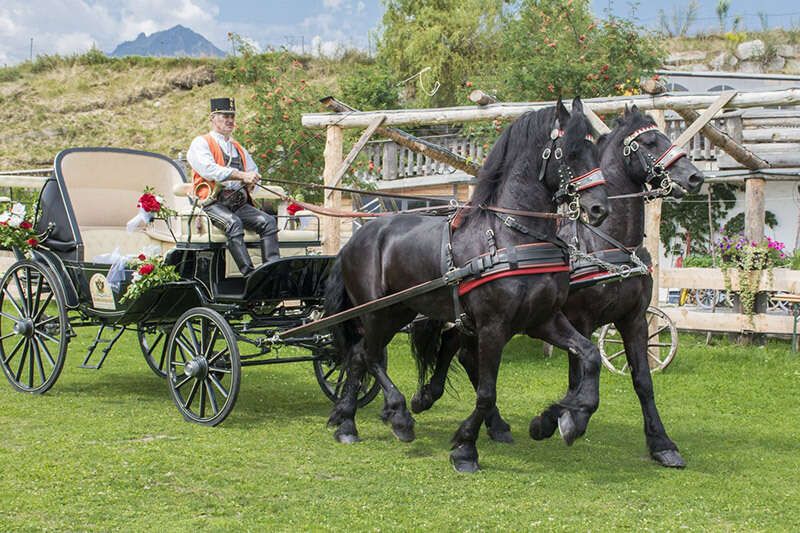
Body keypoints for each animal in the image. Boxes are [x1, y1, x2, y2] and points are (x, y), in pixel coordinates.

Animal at [324, 97, 612, 472]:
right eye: (571, 151)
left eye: (596, 148)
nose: (600, 208)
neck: (512, 236)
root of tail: (355, 240)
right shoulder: (493, 327)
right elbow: (486, 393)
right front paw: (465, 448)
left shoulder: (543, 320)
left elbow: (590, 355)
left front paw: (563, 419)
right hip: (377, 313)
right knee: (369, 354)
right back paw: (397, 416)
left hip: (399, 311)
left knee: (359, 356)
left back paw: (347, 423)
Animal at [410, 104, 704, 466]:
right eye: (650, 142)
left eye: (664, 136)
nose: (695, 177)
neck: (607, 243)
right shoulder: (580, 319)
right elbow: (577, 379)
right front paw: (557, 420)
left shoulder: (633, 319)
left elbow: (642, 382)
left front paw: (662, 443)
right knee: (459, 350)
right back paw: (440, 402)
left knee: (459, 349)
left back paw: (482, 418)